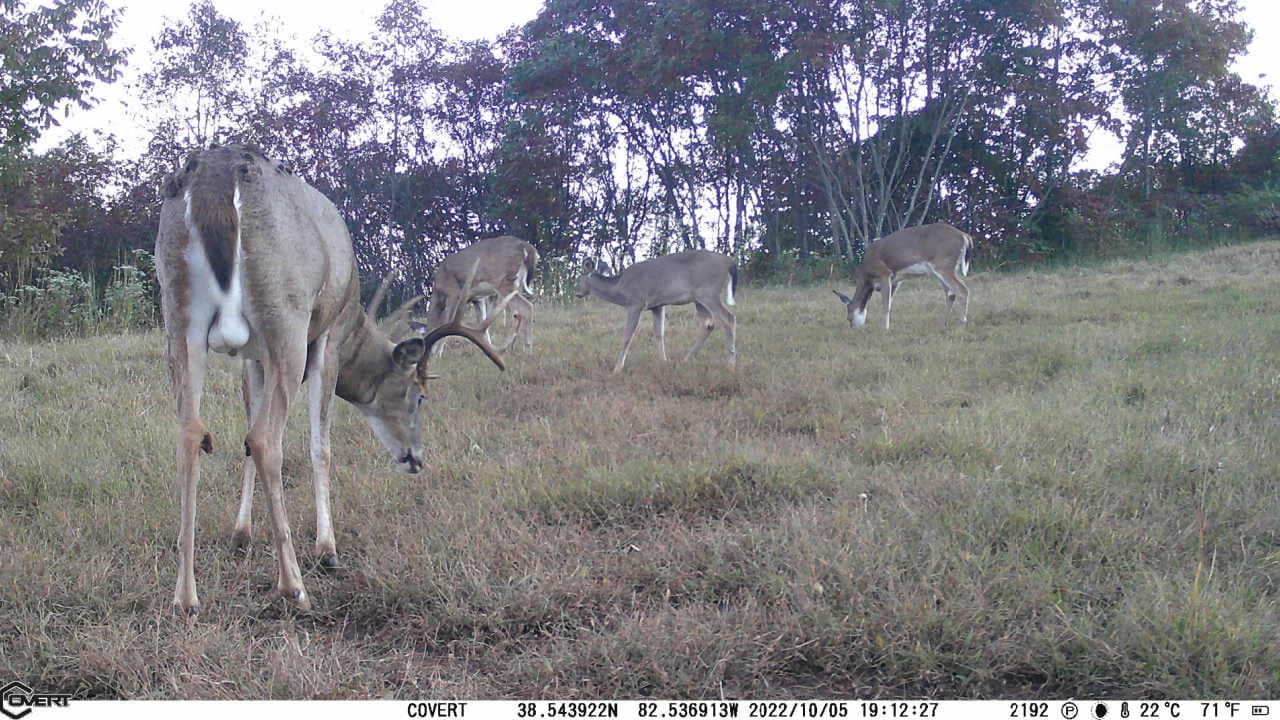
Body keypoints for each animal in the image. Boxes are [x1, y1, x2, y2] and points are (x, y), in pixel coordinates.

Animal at [155, 144, 514, 617]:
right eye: (418, 395)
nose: (416, 459)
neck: (357, 320)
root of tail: (216, 177)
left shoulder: (253, 356)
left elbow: (244, 439)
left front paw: (241, 533)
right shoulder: (328, 337)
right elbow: (320, 444)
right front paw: (327, 547)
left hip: (180, 319)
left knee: (191, 433)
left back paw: (186, 596)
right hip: (286, 316)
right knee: (267, 439)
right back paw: (294, 587)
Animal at [575, 249, 738, 374]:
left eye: (578, 279)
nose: (577, 293)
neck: (620, 289)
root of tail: (730, 262)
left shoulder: (636, 303)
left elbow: (628, 336)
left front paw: (617, 368)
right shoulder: (658, 305)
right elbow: (659, 333)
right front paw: (664, 362)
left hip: (708, 292)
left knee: (728, 318)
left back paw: (731, 364)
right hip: (699, 299)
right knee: (708, 324)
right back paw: (686, 360)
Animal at [832, 222, 974, 330]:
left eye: (849, 318)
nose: (854, 328)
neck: (867, 277)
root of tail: (965, 236)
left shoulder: (884, 273)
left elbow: (886, 305)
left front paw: (884, 329)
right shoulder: (896, 280)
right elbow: (890, 302)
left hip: (943, 265)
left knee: (962, 290)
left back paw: (962, 325)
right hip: (944, 270)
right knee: (951, 294)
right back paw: (944, 324)